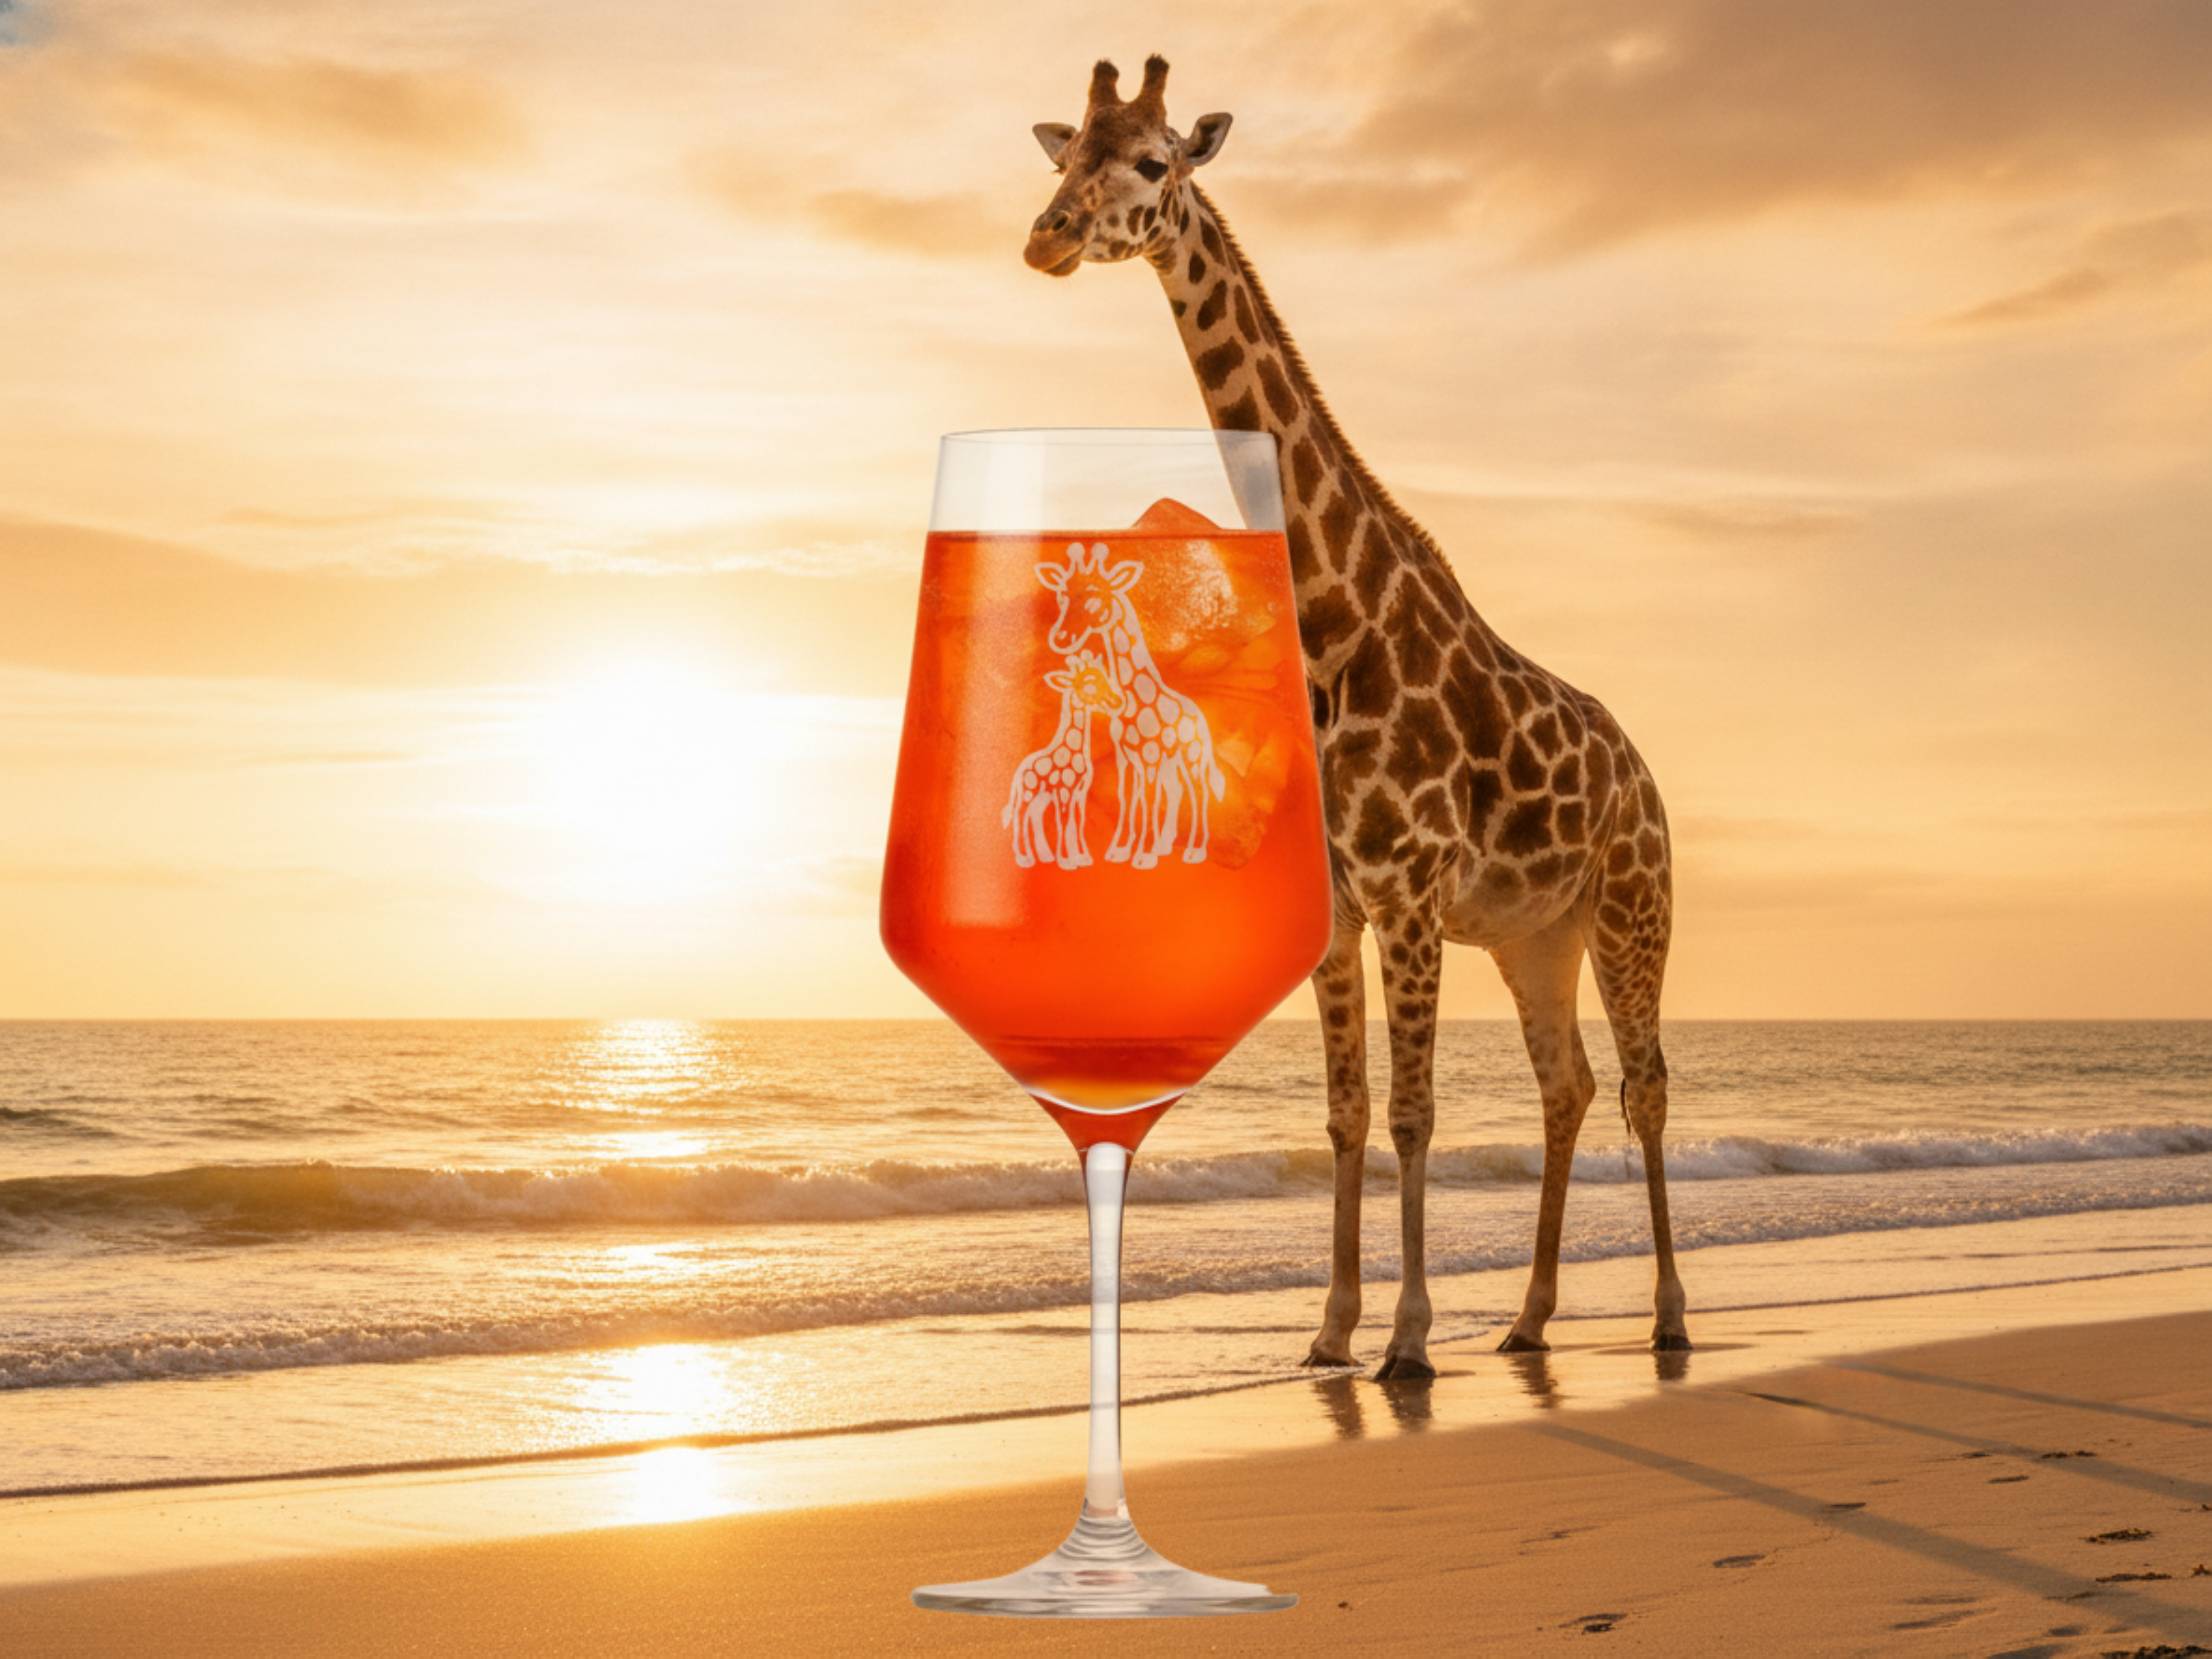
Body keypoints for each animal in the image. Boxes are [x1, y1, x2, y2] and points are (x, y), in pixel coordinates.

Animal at [1004, 647, 1126, 869]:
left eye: (1105, 677)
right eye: (1089, 686)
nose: (1117, 701)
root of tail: (1022, 769)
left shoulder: (1081, 792)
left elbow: (1077, 821)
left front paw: (1081, 857)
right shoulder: (1064, 791)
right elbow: (1063, 821)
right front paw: (1067, 860)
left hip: (1042, 797)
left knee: (1034, 816)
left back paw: (1043, 856)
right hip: (1028, 792)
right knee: (1020, 815)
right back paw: (1024, 857)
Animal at [1039, 541, 1226, 869]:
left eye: (1094, 600)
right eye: (1062, 596)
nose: (1060, 639)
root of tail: (1198, 717)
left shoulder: (1149, 758)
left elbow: (1148, 800)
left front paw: (1143, 855)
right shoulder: (1126, 758)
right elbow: (1129, 798)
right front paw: (1122, 850)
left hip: (1192, 756)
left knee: (1198, 792)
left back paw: (1194, 851)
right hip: (1171, 761)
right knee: (1176, 791)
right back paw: (1165, 845)